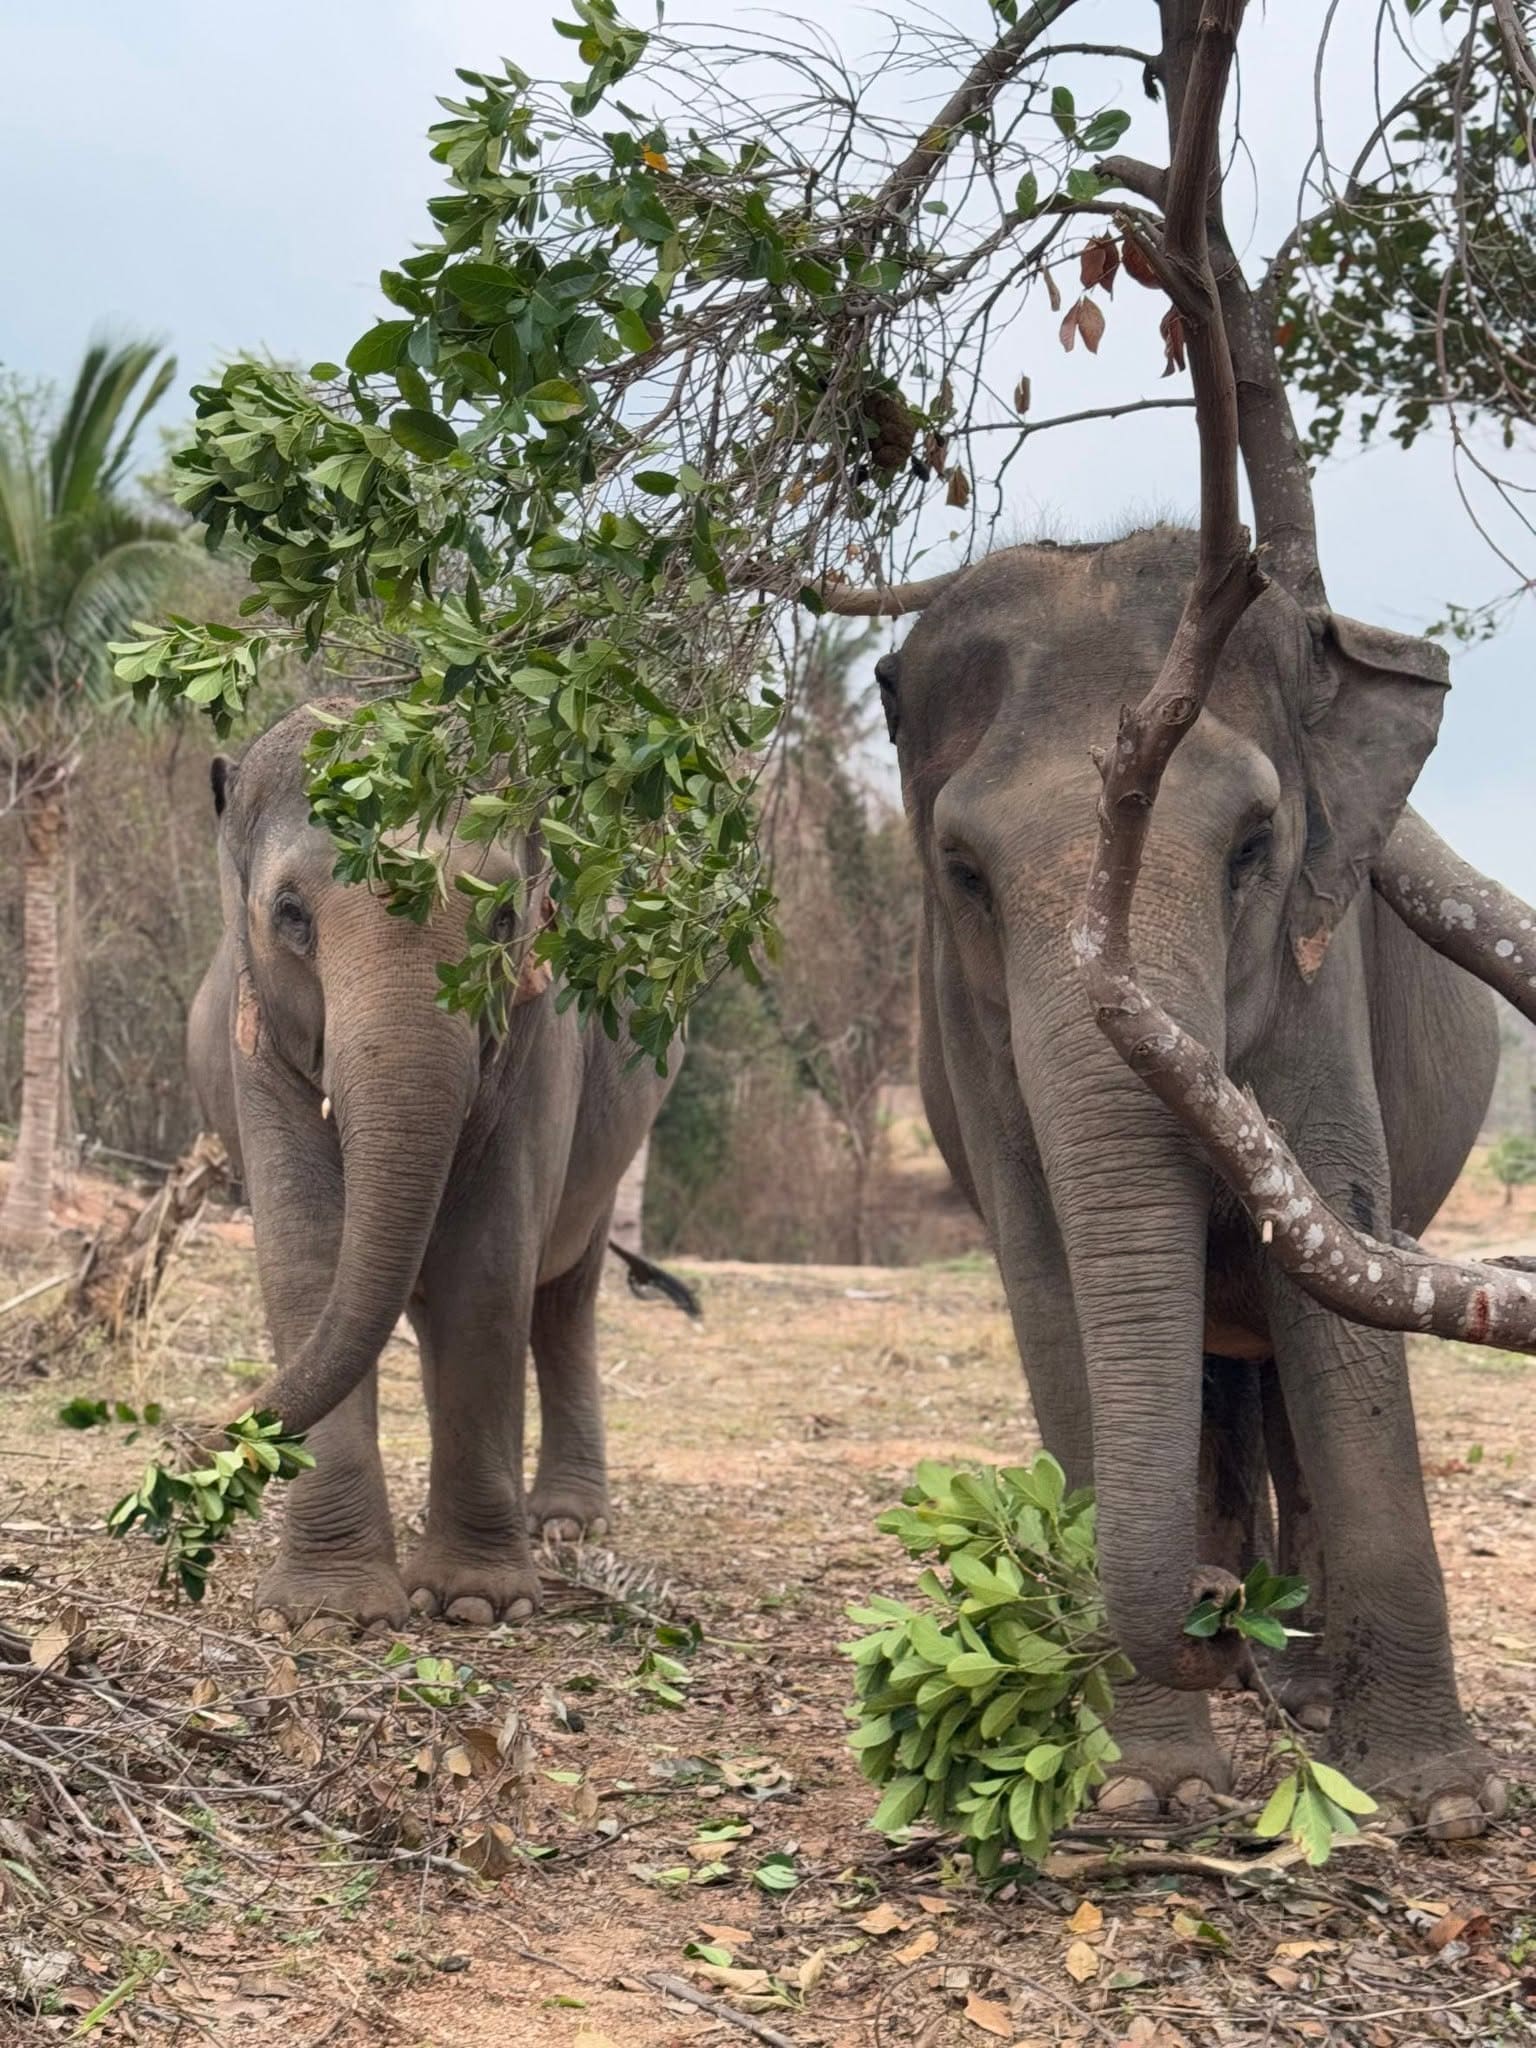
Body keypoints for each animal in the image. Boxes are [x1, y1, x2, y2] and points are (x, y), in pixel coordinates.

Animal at [186, 698, 674, 1631]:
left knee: (562, 1298)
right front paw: (330, 1614)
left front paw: (473, 1603)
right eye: (292, 913)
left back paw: (563, 1523)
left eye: (505, 920)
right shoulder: (255, 1048)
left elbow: (485, 1269)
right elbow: (308, 1260)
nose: (195, 1435)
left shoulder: (537, 1042)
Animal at [880, 526, 1507, 1839]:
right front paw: (1144, 1783)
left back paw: (1304, 1684)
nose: (1212, 1617)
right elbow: (1055, 1287)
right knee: (1220, 1384)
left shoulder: (1325, 973)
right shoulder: (965, 1029)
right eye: (963, 870)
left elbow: (1335, 1259)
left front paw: (1443, 1798)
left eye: (1254, 845)